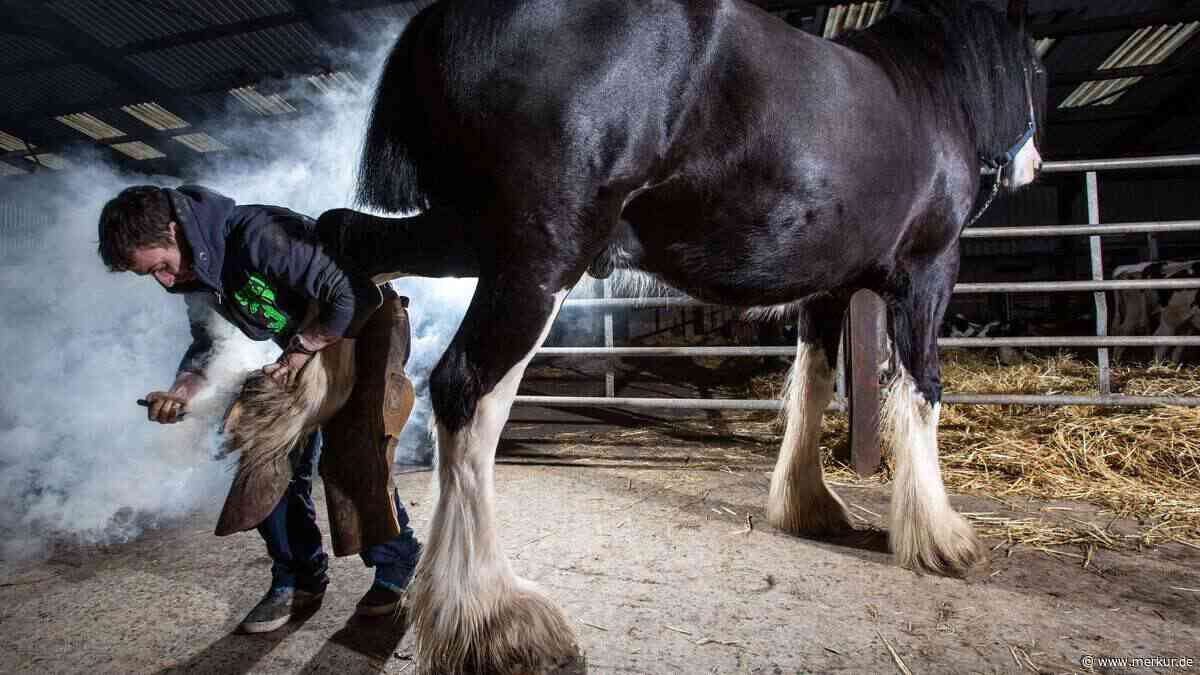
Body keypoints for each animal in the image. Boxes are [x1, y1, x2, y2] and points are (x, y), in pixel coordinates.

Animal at [349, 0, 1047, 671]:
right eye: (1036, 68)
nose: (1034, 165)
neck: (925, 93)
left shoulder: (829, 289)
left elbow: (813, 385)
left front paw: (808, 506)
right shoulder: (929, 271)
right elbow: (923, 389)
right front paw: (942, 538)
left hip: (460, 232)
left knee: (350, 246)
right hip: (538, 256)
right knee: (468, 391)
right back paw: (494, 618)